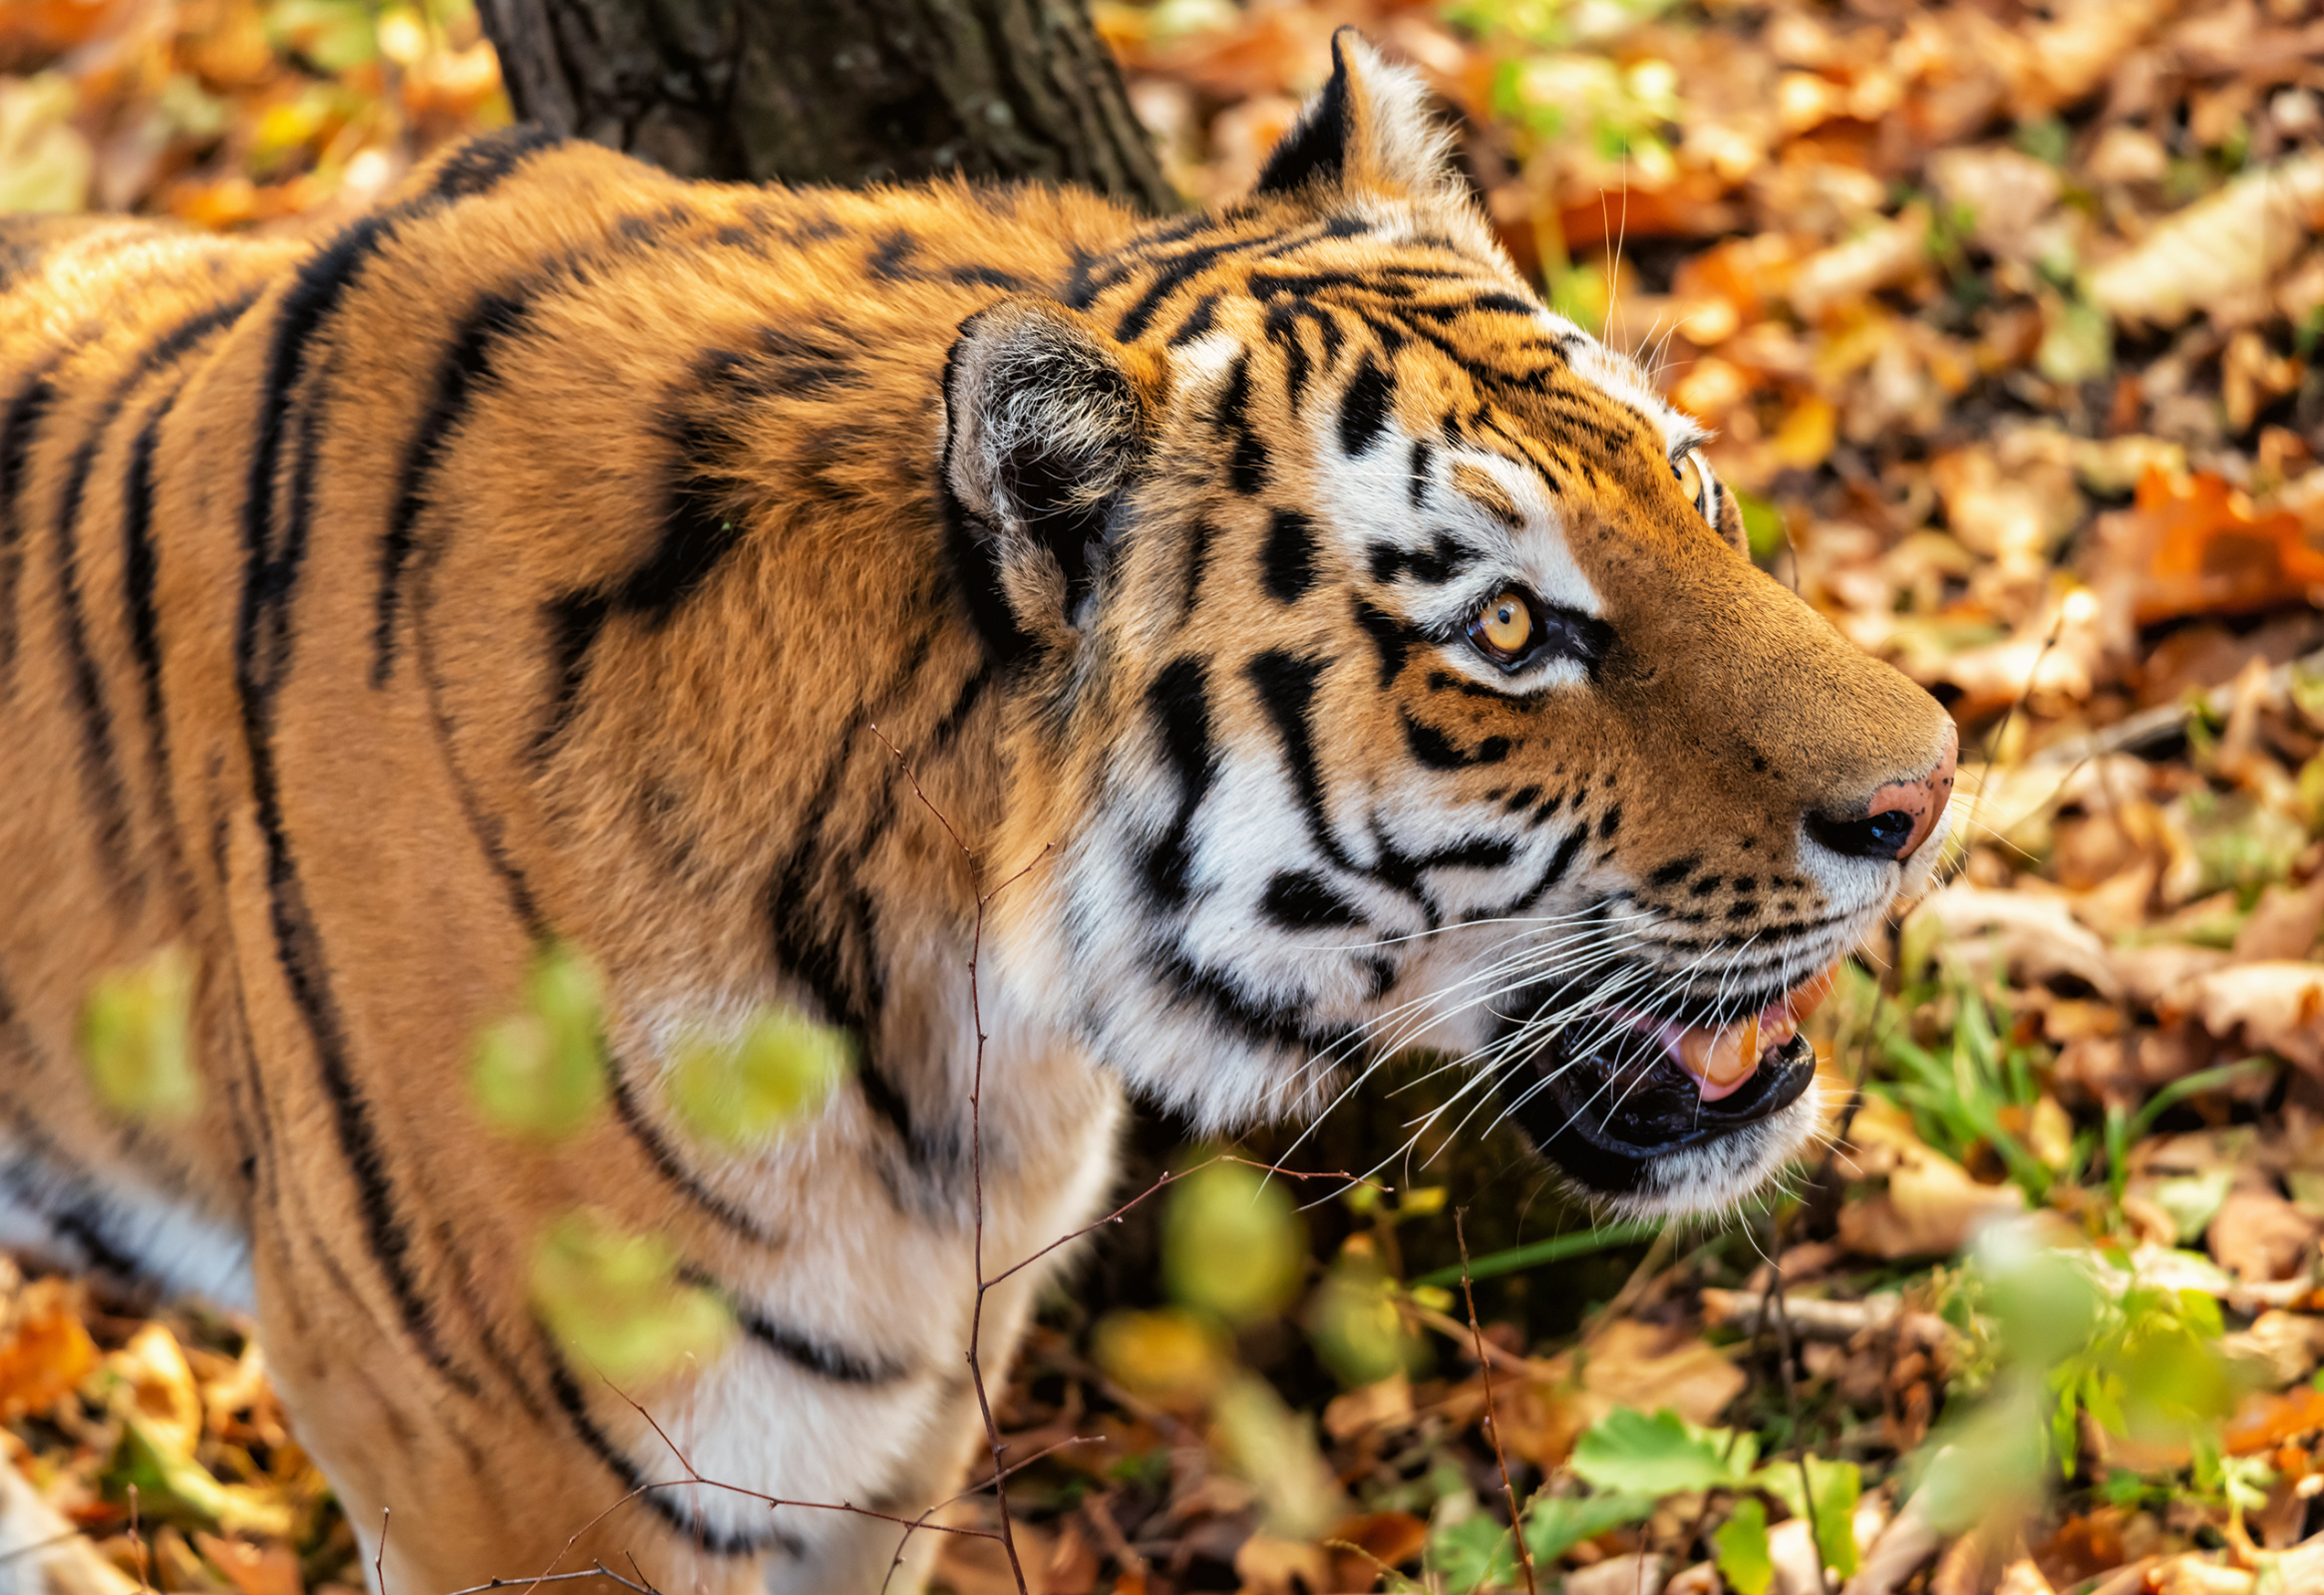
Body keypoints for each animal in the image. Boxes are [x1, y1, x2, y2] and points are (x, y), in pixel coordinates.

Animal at [0, 28, 1961, 1595]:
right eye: (1499, 628)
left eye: (1694, 488)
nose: (1929, 790)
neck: (941, 1024)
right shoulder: (494, 1471)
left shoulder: (892, 1433)